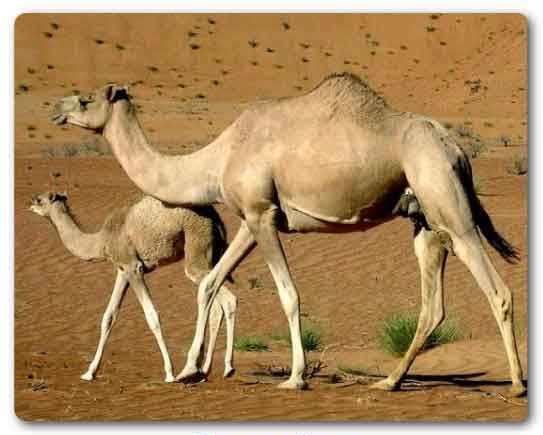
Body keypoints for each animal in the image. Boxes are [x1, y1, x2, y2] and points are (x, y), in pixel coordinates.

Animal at [29, 192, 238, 384]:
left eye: (40, 200)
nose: (30, 204)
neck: (101, 241)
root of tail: (216, 219)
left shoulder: (134, 267)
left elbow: (152, 316)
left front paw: (169, 374)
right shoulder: (122, 270)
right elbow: (109, 316)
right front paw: (89, 372)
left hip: (197, 244)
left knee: (225, 298)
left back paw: (226, 368)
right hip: (209, 253)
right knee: (215, 303)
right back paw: (205, 370)